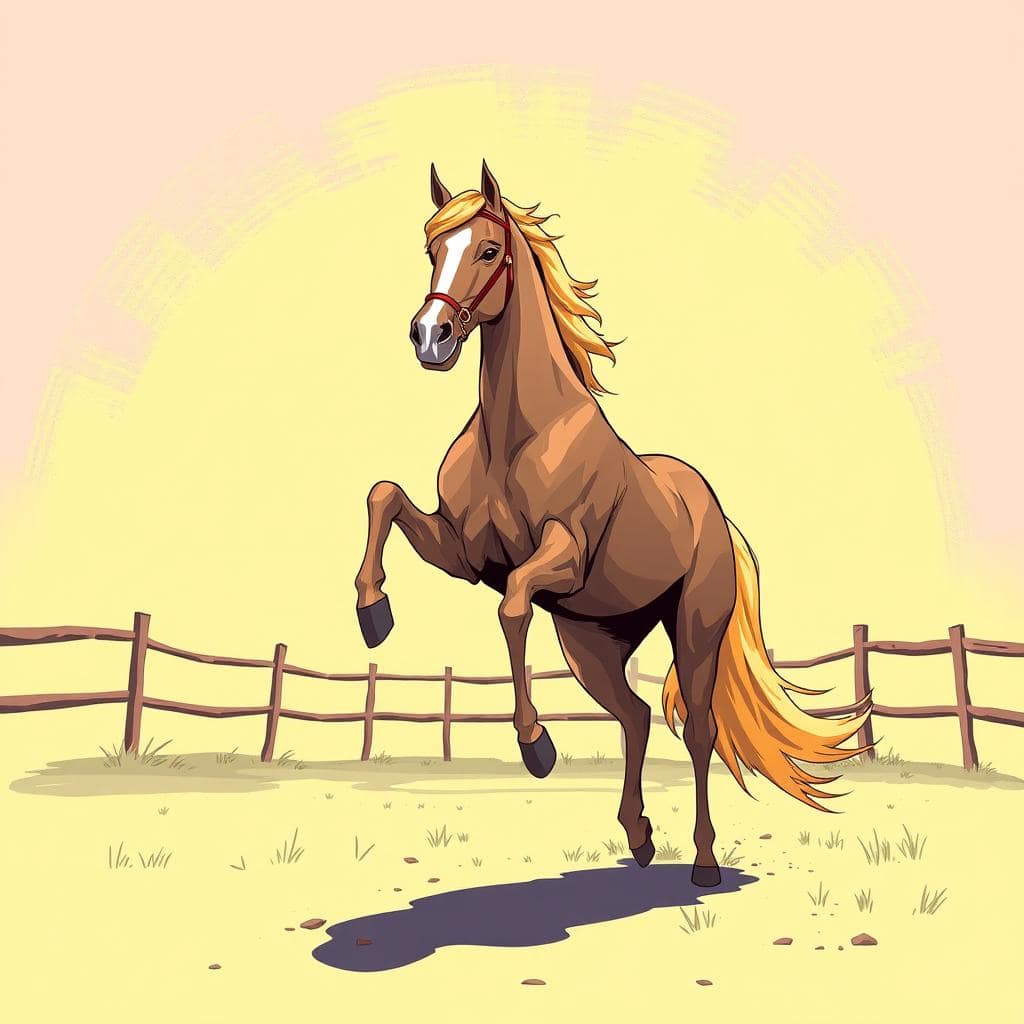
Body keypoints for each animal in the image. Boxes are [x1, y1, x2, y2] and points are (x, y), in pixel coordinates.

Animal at [354, 161, 872, 886]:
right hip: (590, 643)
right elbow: (384, 496)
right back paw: (639, 837)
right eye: (433, 251)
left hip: (693, 630)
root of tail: (714, 512)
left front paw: (535, 745)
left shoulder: (556, 559)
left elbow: (513, 607)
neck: (518, 435)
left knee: (698, 731)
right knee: (636, 715)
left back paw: (703, 863)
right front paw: (373, 614)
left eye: (488, 250)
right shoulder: (464, 555)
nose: (431, 336)